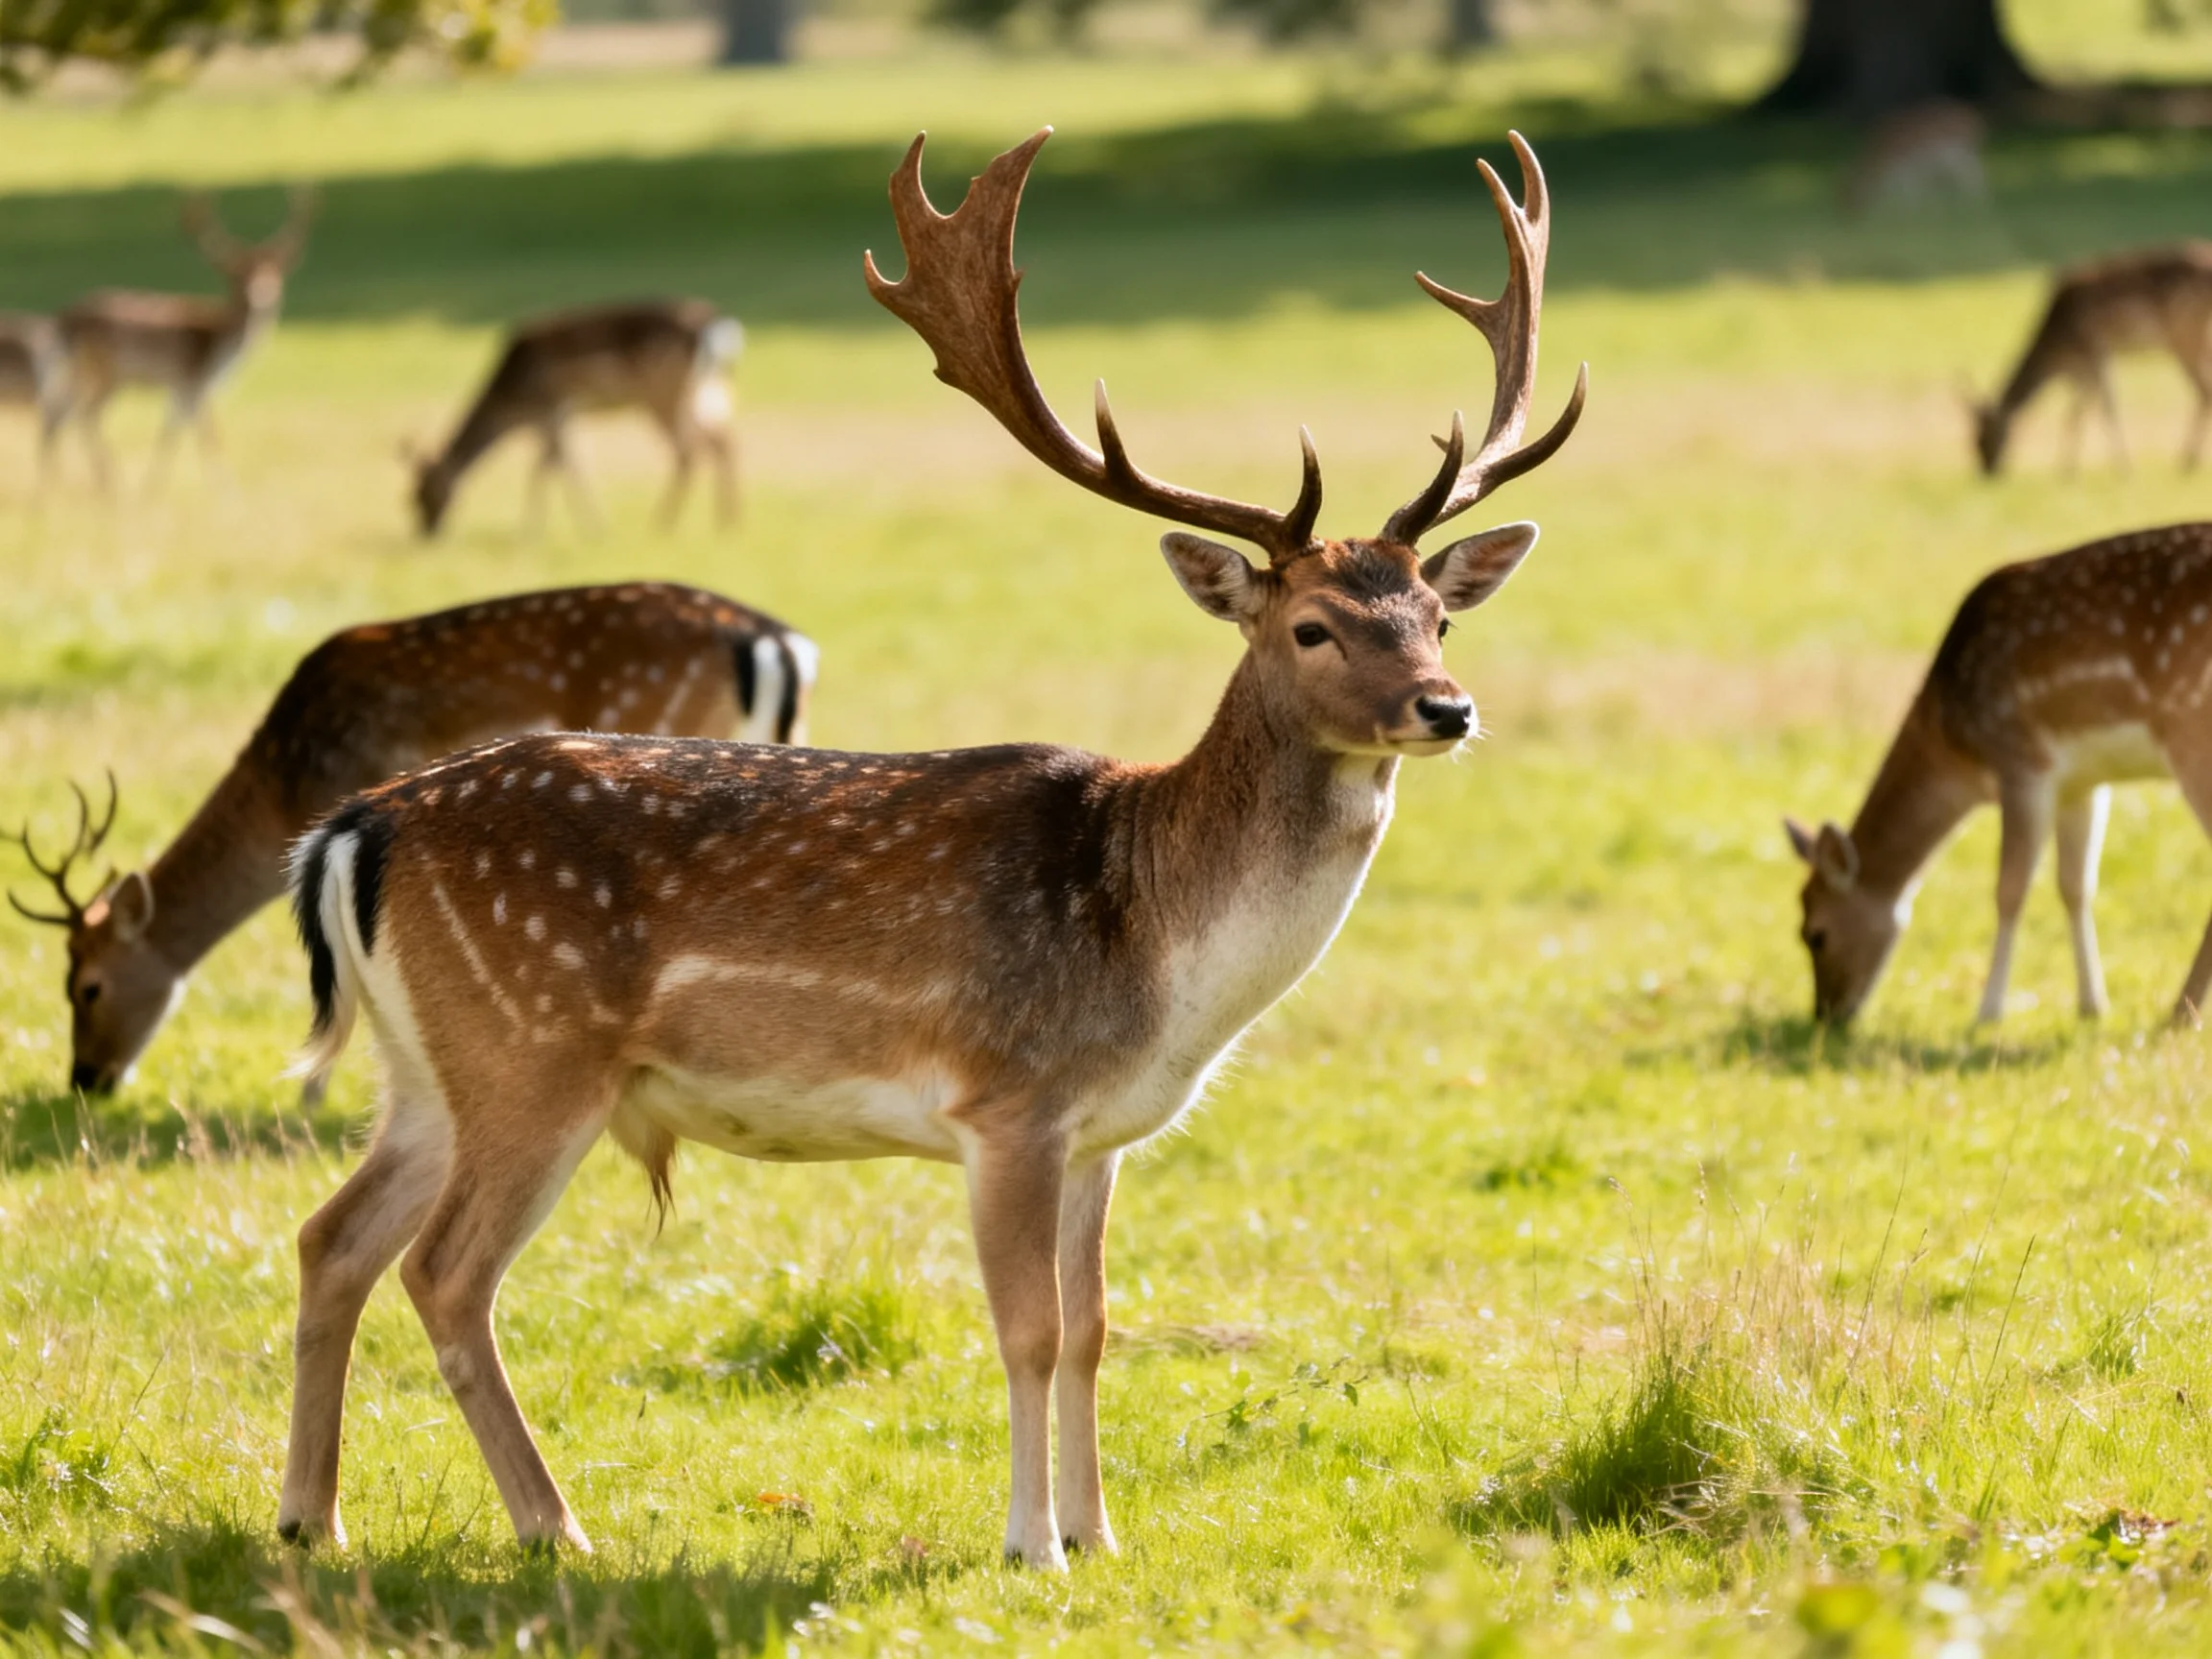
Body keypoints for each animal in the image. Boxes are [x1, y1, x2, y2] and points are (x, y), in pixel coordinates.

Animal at [54, 187, 316, 493]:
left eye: (274, 273)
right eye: (238, 277)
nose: (261, 296)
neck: (222, 344)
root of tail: (64, 319)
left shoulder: (180, 388)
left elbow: (170, 433)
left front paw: (153, 486)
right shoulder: (194, 381)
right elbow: (208, 435)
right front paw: (226, 489)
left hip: (84, 373)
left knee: (61, 412)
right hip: (108, 373)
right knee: (83, 414)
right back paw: (108, 481)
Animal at [405, 300, 742, 539]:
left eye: (421, 496)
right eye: (407, 499)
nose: (427, 534)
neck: (510, 407)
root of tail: (713, 324)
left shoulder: (551, 410)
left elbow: (556, 467)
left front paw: (542, 532)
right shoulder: (555, 418)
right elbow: (559, 465)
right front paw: (573, 527)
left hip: (663, 390)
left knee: (689, 450)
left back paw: (661, 524)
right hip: (706, 387)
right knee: (722, 442)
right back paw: (727, 522)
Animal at [1787, 521, 2212, 1031]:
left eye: (1814, 934)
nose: (1826, 1016)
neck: (1956, 749)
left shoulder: (2019, 758)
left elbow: (2009, 890)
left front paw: (1987, 1013)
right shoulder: (2083, 780)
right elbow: (2075, 886)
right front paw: (2092, 1006)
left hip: (2191, 730)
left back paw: (2180, 1014)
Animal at [1967, 242, 2212, 476]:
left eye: (1985, 439)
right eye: (1972, 441)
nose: (1988, 472)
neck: (2057, 353)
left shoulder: (2095, 350)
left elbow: (2105, 408)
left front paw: (2125, 468)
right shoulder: (2080, 369)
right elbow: (2076, 412)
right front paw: (2066, 469)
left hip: (2185, 333)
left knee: (2204, 390)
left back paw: (2186, 461)